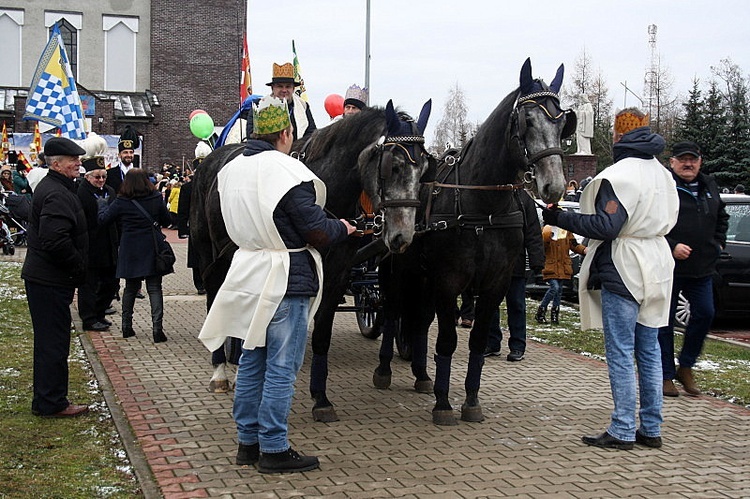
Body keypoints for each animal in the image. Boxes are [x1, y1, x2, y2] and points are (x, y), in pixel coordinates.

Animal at [374, 58, 576, 426]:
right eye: (527, 121)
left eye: (561, 122)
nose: (554, 185)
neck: (483, 210)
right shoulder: (448, 281)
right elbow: (448, 340)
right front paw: (443, 404)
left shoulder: (494, 285)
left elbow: (478, 341)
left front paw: (470, 400)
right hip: (398, 272)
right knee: (394, 312)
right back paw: (384, 370)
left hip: (424, 278)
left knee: (420, 321)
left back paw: (421, 374)